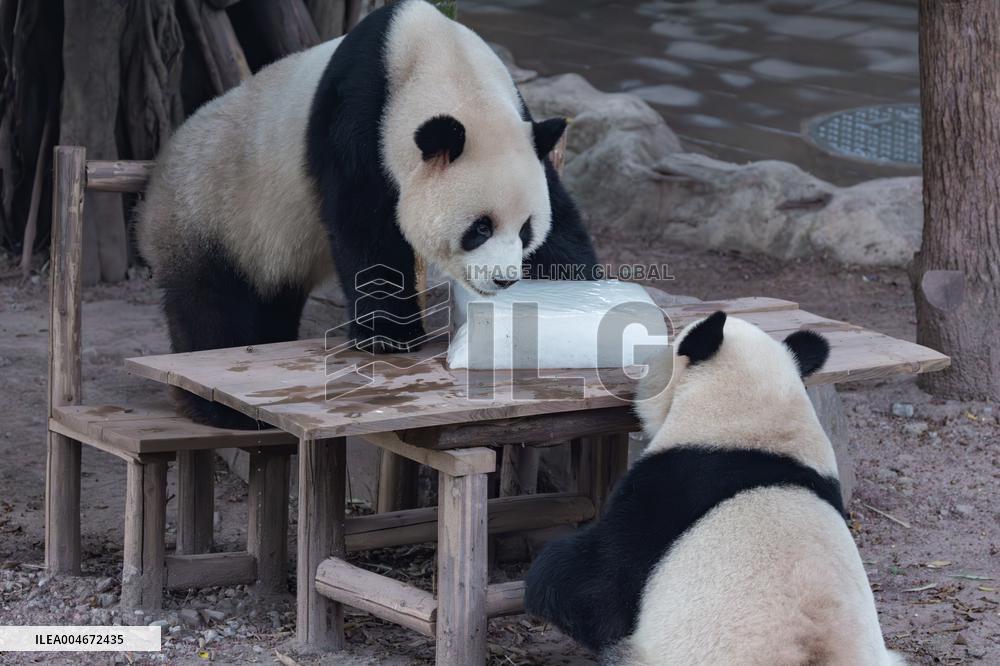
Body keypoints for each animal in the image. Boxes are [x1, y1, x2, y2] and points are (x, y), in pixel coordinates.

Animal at [136, 0, 597, 428]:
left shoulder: (523, 131)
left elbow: (562, 222)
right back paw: (216, 406)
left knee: (273, 297)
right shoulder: (356, 117)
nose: (504, 279)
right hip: (207, 212)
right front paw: (389, 336)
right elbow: (364, 226)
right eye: (480, 228)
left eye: (525, 230)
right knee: (209, 305)